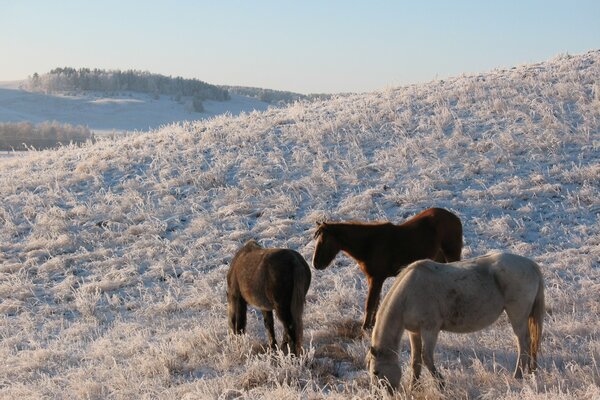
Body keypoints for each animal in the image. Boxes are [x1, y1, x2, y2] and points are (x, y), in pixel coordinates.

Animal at [312, 208, 462, 330]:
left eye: (323, 241)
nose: (316, 264)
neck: (369, 244)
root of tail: (454, 217)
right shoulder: (373, 279)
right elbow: (376, 302)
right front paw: (371, 326)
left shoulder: (376, 278)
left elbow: (370, 304)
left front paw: (365, 328)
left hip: (451, 254)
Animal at [366, 253, 544, 390]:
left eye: (376, 372)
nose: (382, 393)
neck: (408, 295)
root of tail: (530, 265)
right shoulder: (414, 332)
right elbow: (415, 361)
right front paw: (413, 387)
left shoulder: (430, 330)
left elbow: (426, 358)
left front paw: (441, 385)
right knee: (529, 343)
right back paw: (530, 372)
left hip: (517, 316)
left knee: (523, 344)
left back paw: (518, 376)